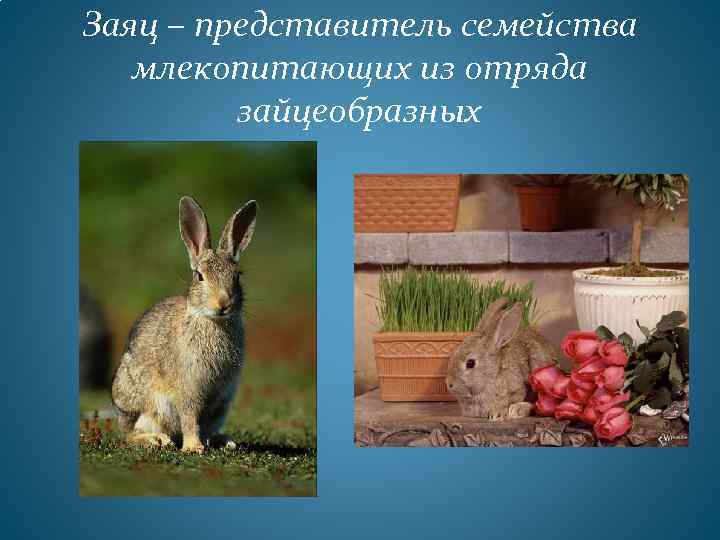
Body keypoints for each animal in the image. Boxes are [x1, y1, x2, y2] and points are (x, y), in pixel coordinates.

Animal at [111, 196, 257, 453]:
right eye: (199, 276)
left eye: (238, 275)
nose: (223, 303)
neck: (211, 320)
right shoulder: (189, 388)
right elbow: (190, 417)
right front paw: (193, 447)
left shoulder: (219, 397)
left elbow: (203, 422)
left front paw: (209, 442)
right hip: (146, 404)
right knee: (130, 435)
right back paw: (156, 439)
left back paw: (224, 440)